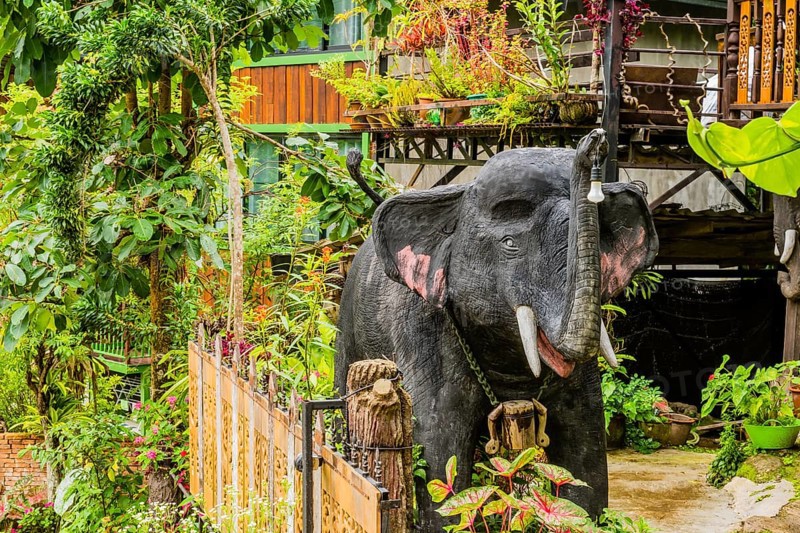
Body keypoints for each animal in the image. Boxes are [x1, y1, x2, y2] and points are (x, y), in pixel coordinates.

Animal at [335, 129, 659, 530]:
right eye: (509, 244)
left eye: (601, 238)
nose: (594, 140)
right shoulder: (422, 332)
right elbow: (442, 452)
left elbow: (586, 449)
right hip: (348, 330)